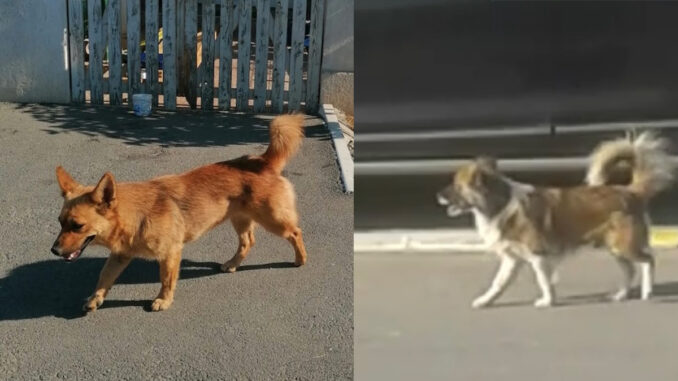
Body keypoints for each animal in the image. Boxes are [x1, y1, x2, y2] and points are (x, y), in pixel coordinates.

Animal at [53, 114, 308, 310]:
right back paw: (233, 263)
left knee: (295, 233)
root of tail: (262, 161)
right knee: (248, 242)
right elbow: (104, 277)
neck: (136, 215)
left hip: (273, 220)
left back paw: (301, 259)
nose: (54, 251)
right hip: (240, 219)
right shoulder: (119, 256)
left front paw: (163, 301)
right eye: (60, 222)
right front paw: (96, 298)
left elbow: (166, 280)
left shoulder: (170, 253)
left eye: (78, 225)